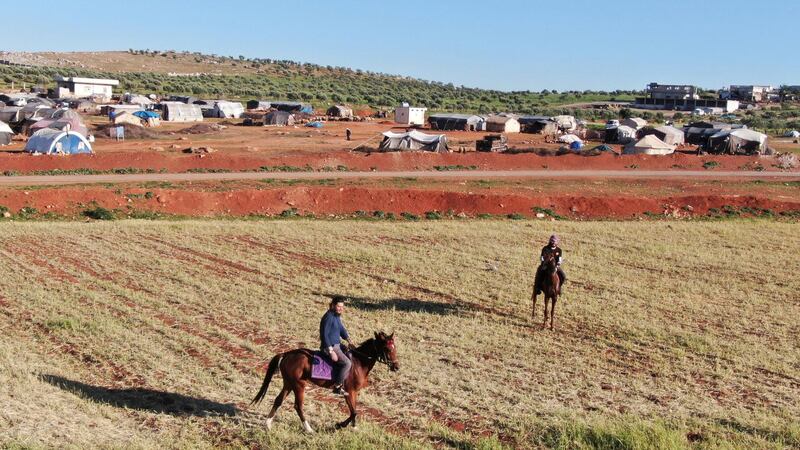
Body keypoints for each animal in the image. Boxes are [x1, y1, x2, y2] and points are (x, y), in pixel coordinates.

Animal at [250, 330, 400, 432]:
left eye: (395, 348)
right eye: (387, 348)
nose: (396, 367)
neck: (359, 362)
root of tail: (287, 354)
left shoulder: (354, 393)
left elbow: (354, 411)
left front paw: (352, 426)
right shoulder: (349, 392)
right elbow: (354, 412)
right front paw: (339, 425)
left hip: (288, 383)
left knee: (278, 400)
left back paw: (268, 424)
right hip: (299, 385)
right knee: (298, 406)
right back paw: (309, 429)